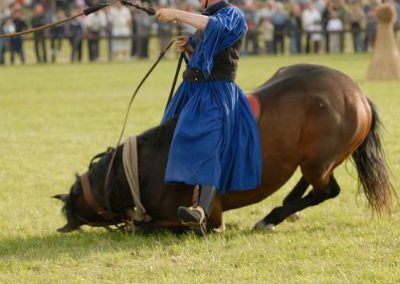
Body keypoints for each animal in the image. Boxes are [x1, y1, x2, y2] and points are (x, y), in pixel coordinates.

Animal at [53, 64, 394, 235]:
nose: (65, 227)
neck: (147, 170)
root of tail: (358, 95)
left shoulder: (209, 219)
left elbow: (148, 227)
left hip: (319, 162)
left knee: (328, 191)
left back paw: (272, 217)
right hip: (314, 160)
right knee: (312, 184)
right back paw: (285, 208)